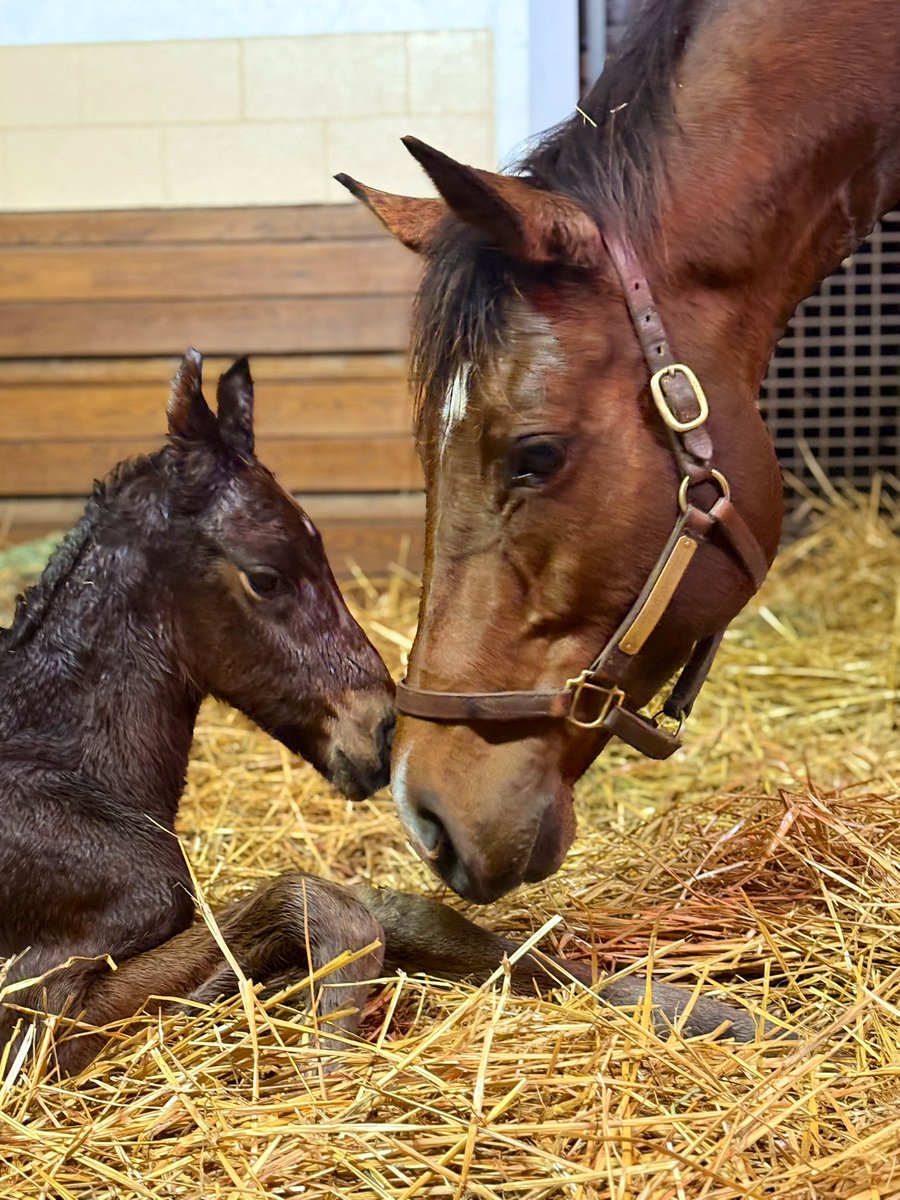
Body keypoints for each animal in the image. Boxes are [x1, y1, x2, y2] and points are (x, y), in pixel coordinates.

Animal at [0, 352, 766, 1076]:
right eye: (266, 576)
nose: (382, 729)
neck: (65, 771)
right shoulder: (36, 1016)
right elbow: (316, 901)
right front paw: (324, 1054)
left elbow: (389, 907)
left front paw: (705, 1011)